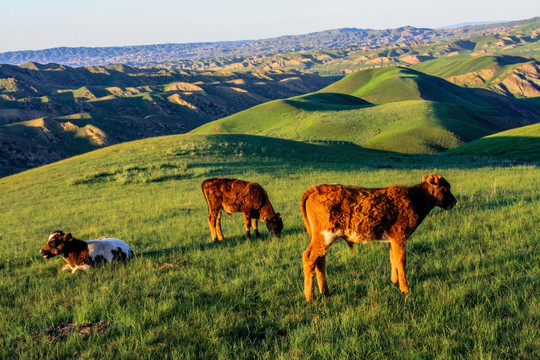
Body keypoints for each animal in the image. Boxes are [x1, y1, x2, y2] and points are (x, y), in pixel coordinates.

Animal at [300, 174, 456, 300]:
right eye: (445, 188)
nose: (454, 202)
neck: (414, 198)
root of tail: (315, 188)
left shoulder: (392, 239)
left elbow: (393, 258)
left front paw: (394, 281)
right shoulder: (400, 236)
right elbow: (401, 261)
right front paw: (405, 289)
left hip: (322, 238)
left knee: (320, 260)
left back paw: (325, 292)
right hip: (325, 235)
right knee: (310, 257)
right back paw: (310, 296)